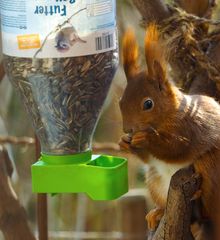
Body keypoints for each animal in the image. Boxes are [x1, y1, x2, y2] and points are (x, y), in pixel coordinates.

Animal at [119, 24, 220, 236]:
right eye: (120, 102)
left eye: (148, 104)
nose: (128, 129)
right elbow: (149, 158)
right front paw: (124, 143)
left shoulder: (192, 127)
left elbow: (176, 149)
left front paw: (147, 140)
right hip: (154, 180)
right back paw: (158, 213)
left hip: (210, 167)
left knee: (203, 213)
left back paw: (198, 197)